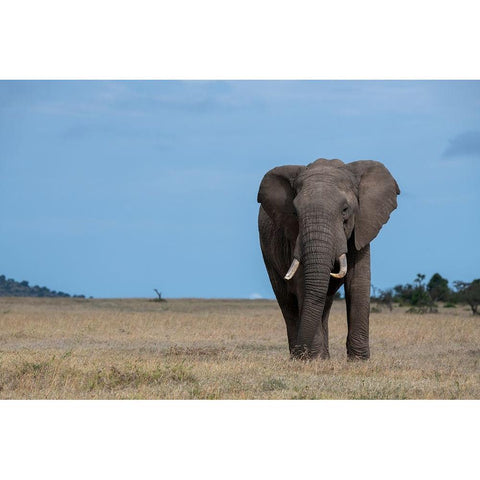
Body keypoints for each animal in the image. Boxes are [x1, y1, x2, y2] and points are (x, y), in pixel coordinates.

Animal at [256, 158, 400, 360]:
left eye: (345, 210)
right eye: (295, 213)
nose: (302, 352)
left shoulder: (362, 227)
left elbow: (358, 283)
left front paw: (359, 361)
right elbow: (303, 284)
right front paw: (313, 359)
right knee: (287, 301)